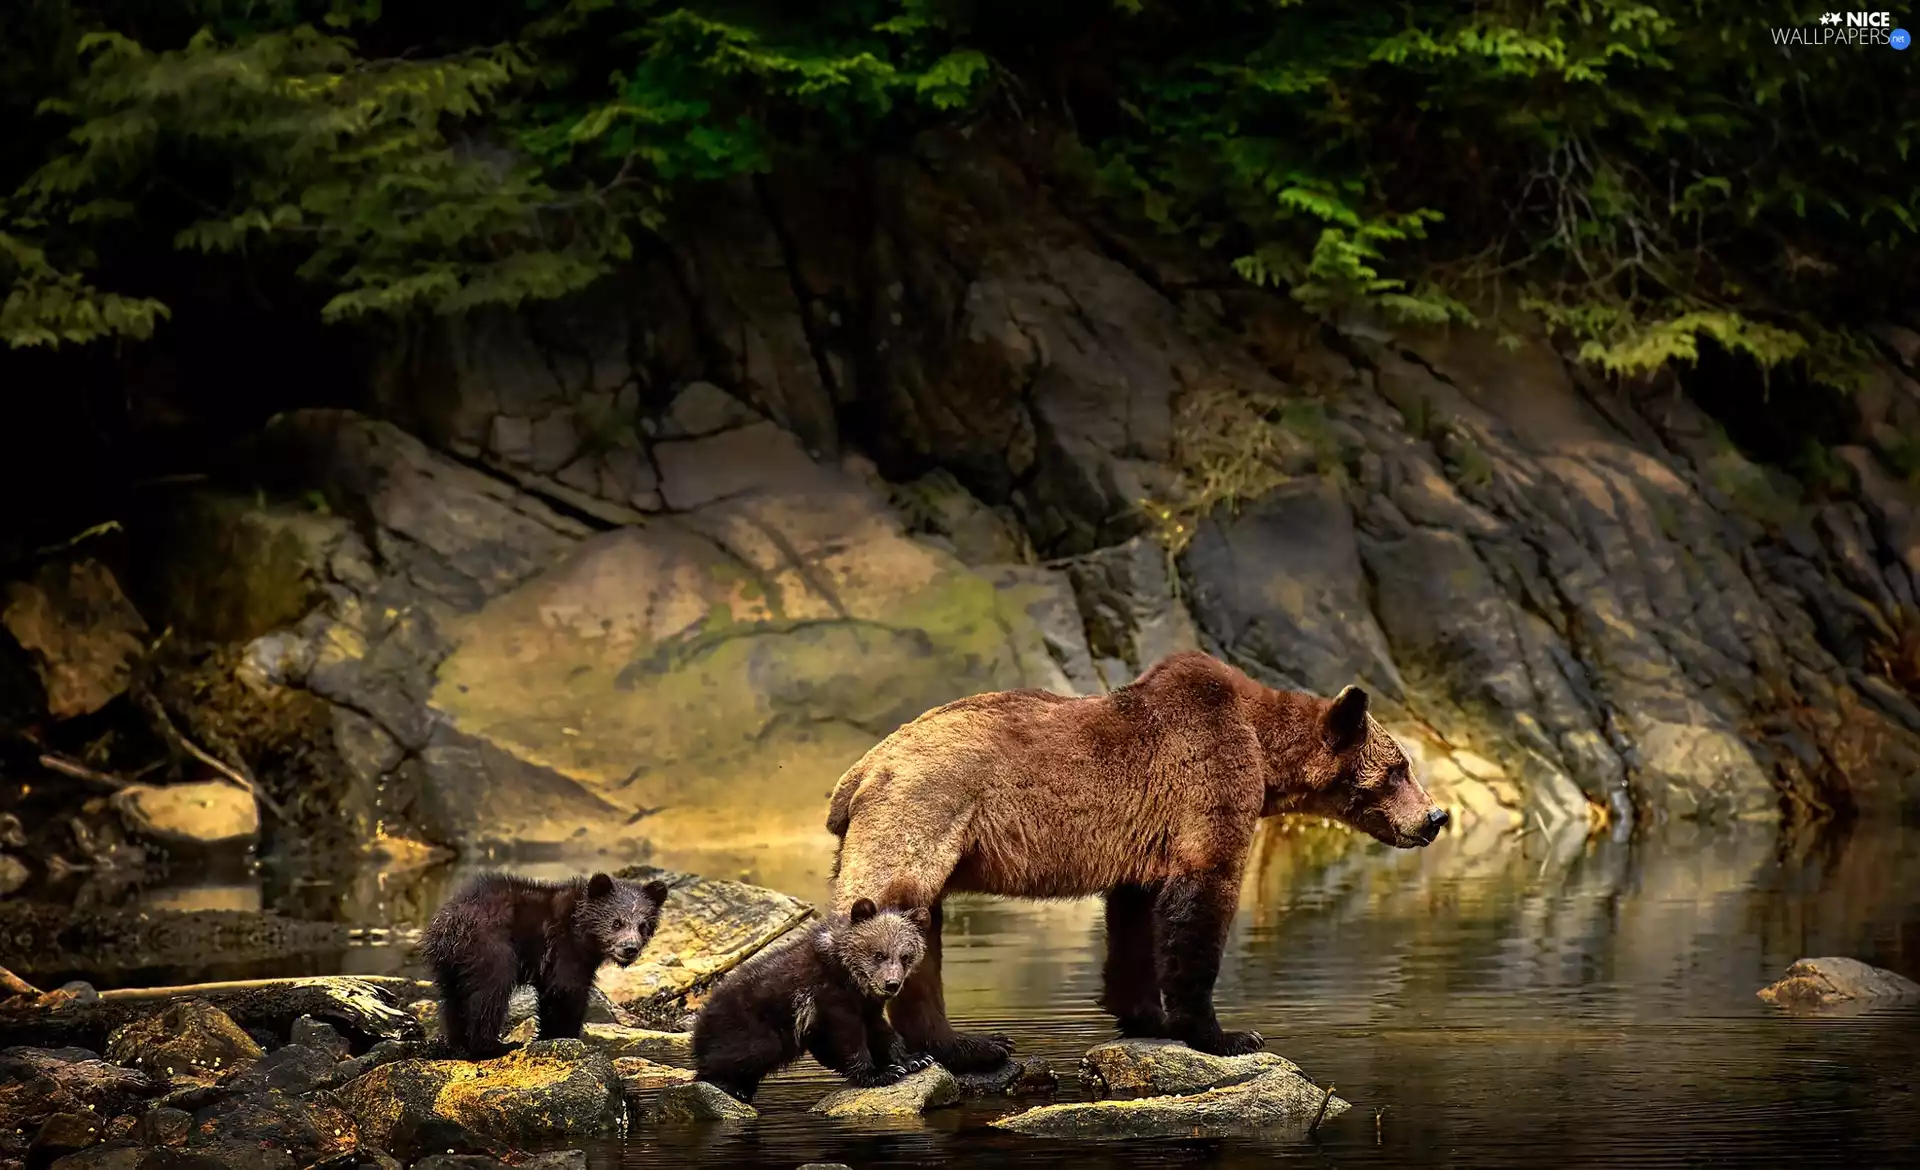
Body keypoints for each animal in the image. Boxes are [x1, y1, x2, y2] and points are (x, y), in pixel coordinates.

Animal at [420, 871, 669, 1058]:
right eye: (616, 922)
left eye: (643, 925)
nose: (630, 948)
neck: (582, 933)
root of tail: (450, 923)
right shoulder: (563, 950)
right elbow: (565, 991)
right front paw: (564, 1036)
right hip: (491, 949)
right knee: (488, 995)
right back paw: (493, 1046)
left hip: (449, 965)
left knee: (453, 1001)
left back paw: (459, 1045)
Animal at [691, 898, 935, 1102]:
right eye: (879, 954)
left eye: (905, 956)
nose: (891, 983)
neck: (848, 976)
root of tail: (701, 1017)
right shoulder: (826, 998)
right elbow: (846, 1039)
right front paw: (880, 1073)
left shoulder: (867, 1005)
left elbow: (881, 1031)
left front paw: (914, 1059)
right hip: (747, 1024)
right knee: (748, 1051)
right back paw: (731, 1087)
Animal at [825, 649, 1445, 1071]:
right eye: (1399, 769)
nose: (1435, 817)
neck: (1265, 751)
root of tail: (858, 773)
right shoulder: (1208, 779)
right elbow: (1202, 899)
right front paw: (1225, 1035)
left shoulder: (1147, 835)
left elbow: (1135, 919)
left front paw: (1147, 1015)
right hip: (925, 814)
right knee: (890, 918)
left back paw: (968, 1044)